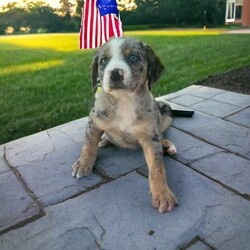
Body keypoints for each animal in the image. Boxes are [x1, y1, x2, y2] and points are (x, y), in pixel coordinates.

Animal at [72, 37, 178, 213]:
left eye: (133, 57)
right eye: (104, 60)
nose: (115, 73)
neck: (124, 101)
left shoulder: (150, 135)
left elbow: (157, 167)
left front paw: (162, 194)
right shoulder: (94, 120)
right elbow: (88, 144)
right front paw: (83, 163)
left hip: (166, 111)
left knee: (162, 135)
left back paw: (167, 145)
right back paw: (105, 141)